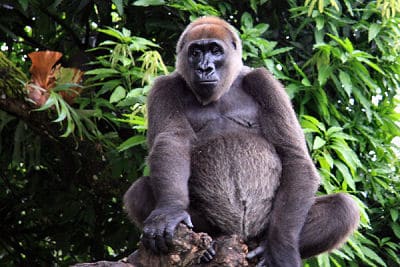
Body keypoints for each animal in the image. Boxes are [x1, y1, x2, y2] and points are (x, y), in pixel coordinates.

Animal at [123, 16, 360, 267]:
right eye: (195, 52)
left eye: (215, 50)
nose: (204, 68)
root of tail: (241, 238)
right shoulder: (164, 87)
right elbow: (171, 143)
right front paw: (169, 210)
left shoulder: (264, 81)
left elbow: (293, 155)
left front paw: (282, 250)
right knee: (139, 191)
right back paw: (209, 249)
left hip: (262, 231)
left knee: (342, 208)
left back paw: (265, 247)